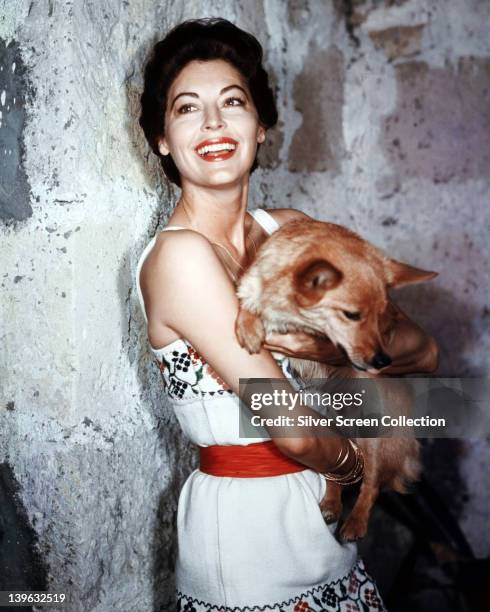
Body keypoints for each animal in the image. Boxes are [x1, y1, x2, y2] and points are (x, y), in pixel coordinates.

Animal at [235, 219, 438, 540]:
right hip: (331, 434)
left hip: (374, 435)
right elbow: (249, 304)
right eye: (351, 315)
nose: (382, 361)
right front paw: (249, 324)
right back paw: (331, 504)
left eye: (382, 315)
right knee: (337, 478)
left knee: (371, 483)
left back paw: (356, 522)